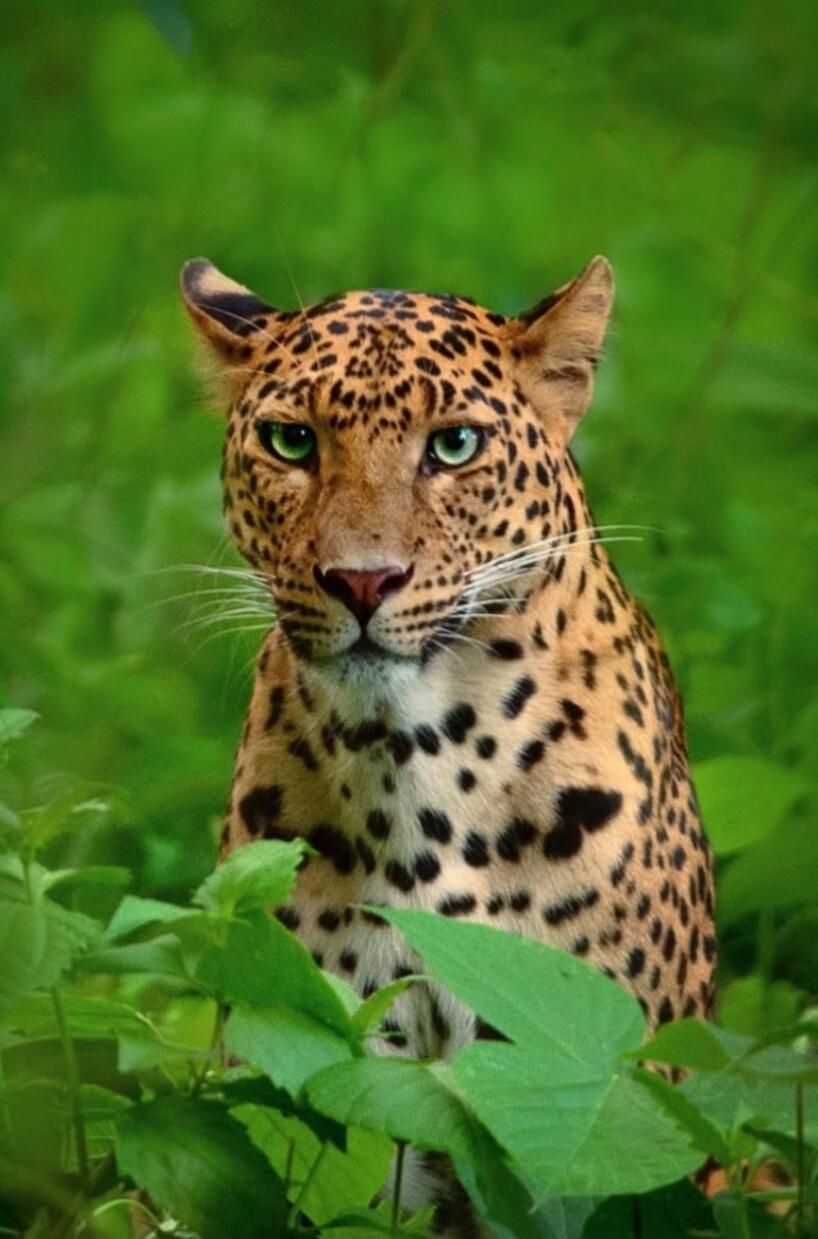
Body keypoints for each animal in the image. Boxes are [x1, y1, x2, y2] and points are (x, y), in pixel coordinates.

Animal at [180, 254, 716, 1232]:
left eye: (455, 445)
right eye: (292, 442)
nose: (362, 580)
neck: (414, 763)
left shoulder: (588, 1071)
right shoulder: (334, 1069)